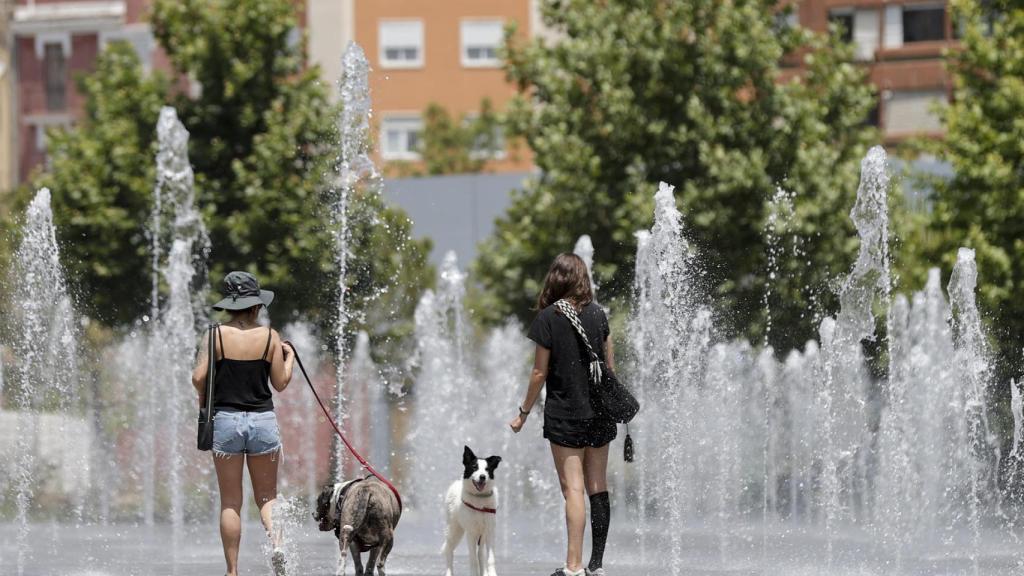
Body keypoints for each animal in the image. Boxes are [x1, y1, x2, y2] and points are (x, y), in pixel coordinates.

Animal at [442, 444, 501, 573]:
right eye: (474, 467)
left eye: (487, 469)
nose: (482, 477)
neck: (479, 499)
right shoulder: (471, 532)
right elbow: (473, 560)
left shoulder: (489, 531)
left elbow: (489, 559)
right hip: (454, 529)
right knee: (449, 549)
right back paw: (449, 572)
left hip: (481, 535)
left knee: (481, 554)